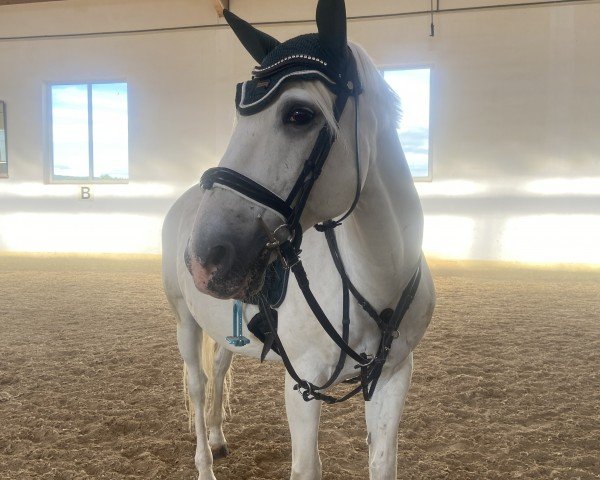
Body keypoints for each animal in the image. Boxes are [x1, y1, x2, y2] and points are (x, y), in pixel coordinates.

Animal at [164, 1, 436, 478]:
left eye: (298, 115)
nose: (203, 257)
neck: (372, 280)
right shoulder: (303, 385)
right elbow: (307, 467)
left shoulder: (394, 375)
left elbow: (383, 463)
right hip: (185, 321)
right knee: (197, 386)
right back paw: (204, 463)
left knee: (219, 369)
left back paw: (217, 438)